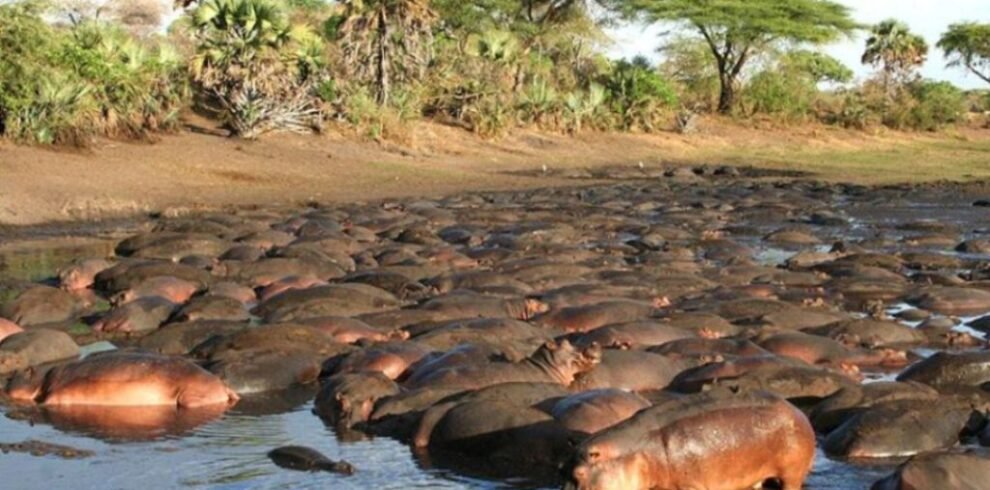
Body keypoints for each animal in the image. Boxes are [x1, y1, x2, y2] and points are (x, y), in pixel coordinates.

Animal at [563, 390, 815, 490]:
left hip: (792, 473)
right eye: (560, 468)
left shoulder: (689, 485)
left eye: (579, 474)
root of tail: (798, 412)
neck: (637, 448)